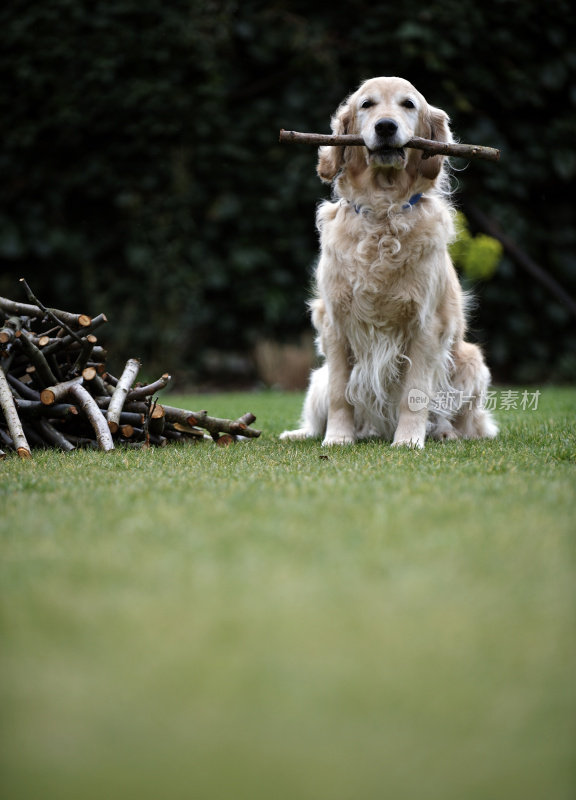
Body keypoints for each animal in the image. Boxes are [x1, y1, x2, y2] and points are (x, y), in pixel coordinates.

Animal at [282, 76, 498, 446]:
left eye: (408, 104)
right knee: (318, 413)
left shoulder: (427, 325)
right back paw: (303, 434)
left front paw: (408, 441)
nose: (385, 126)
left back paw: (444, 433)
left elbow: (415, 393)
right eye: (366, 104)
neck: (383, 212)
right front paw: (337, 439)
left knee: (463, 420)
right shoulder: (335, 323)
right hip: (317, 381)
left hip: (472, 363)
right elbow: (341, 393)